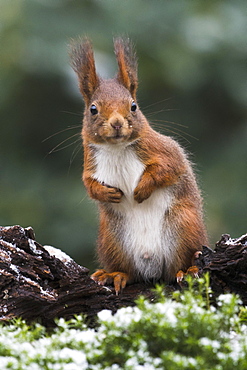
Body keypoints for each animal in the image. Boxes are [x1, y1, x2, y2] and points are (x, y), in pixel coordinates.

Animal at [69, 36, 206, 292]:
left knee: (179, 264)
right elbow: (89, 185)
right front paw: (106, 193)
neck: (117, 148)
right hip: (112, 239)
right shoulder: (90, 166)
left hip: (183, 227)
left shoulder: (165, 151)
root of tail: (153, 268)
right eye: (93, 109)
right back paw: (114, 275)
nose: (116, 123)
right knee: (129, 272)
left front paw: (142, 189)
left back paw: (187, 270)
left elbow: (167, 169)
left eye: (133, 106)